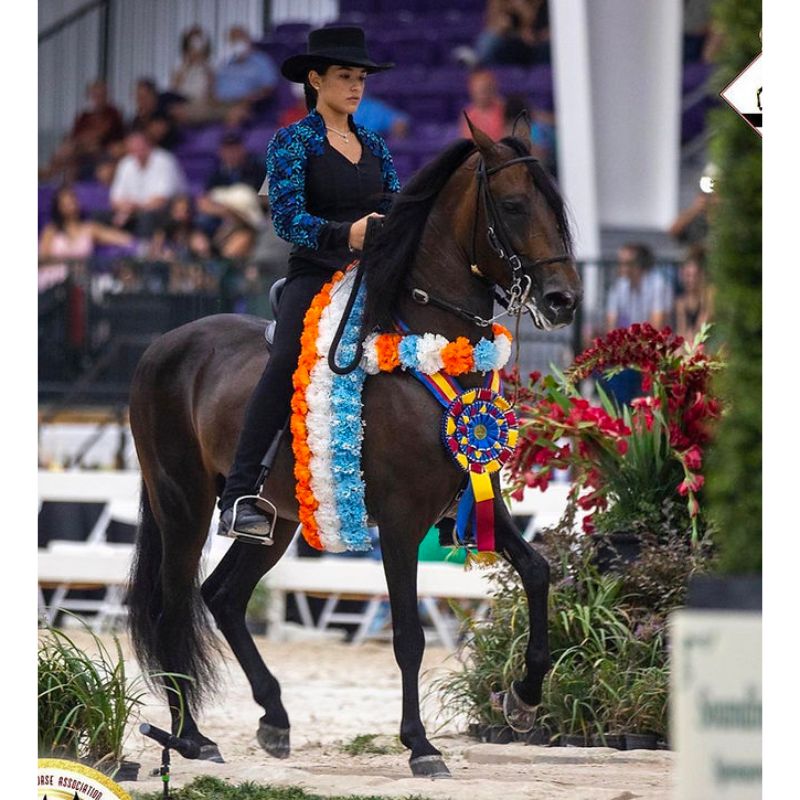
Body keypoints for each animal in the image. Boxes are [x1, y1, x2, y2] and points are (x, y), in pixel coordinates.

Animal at [130, 122, 580, 780]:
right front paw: (421, 746)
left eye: (555, 205)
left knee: (224, 596)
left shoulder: (475, 499)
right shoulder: (399, 521)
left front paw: (523, 697)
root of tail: (162, 346)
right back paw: (191, 737)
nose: (563, 300)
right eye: (516, 204)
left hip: (279, 521)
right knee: (172, 612)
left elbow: (539, 572)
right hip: (183, 506)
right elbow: (409, 636)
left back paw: (274, 720)